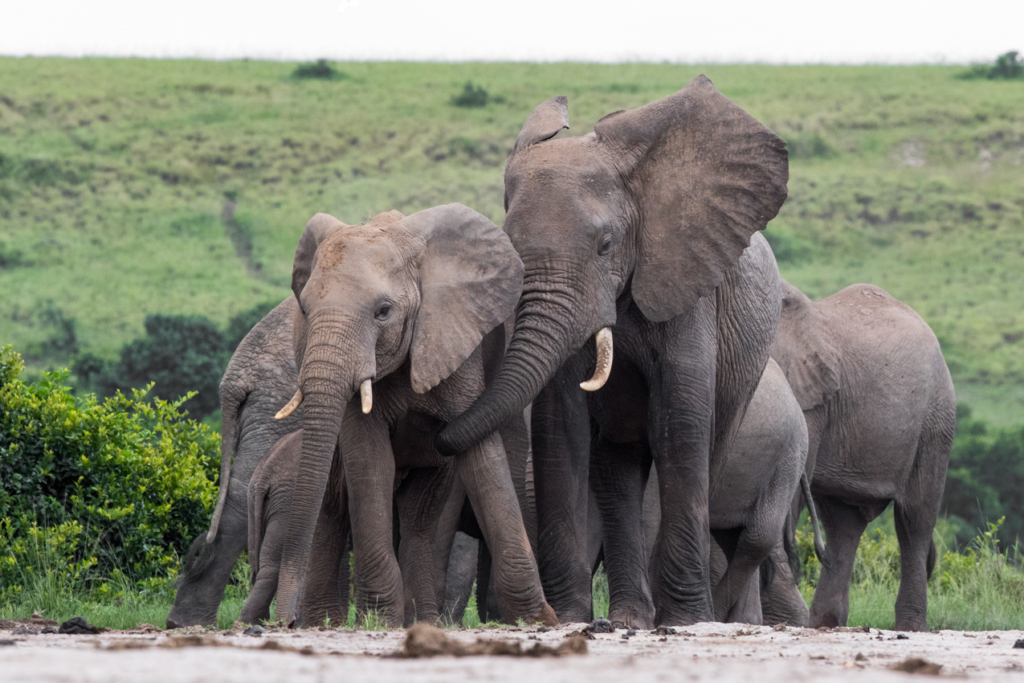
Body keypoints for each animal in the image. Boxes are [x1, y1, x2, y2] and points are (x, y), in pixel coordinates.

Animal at [272, 204, 557, 630]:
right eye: (305, 310)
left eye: (383, 312)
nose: (284, 622)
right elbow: (369, 462)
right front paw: (377, 620)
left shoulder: (456, 344)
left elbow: (482, 460)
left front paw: (539, 620)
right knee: (334, 502)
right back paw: (329, 623)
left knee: (420, 515)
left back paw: (422, 621)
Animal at [436, 74, 786, 630]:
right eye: (511, 250)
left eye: (605, 245)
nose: (440, 437)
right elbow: (561, 427)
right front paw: (570, 616)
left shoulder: (685, 280)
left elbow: (679, 425)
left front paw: (685, 619)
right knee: (615, 467)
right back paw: (627, 619)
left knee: (707, 445)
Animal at [770, 280, 954, 634]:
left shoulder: (811, 401)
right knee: (843, 526)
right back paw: (825, 625)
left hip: (935, 421)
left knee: (914, 520)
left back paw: (909, 629)